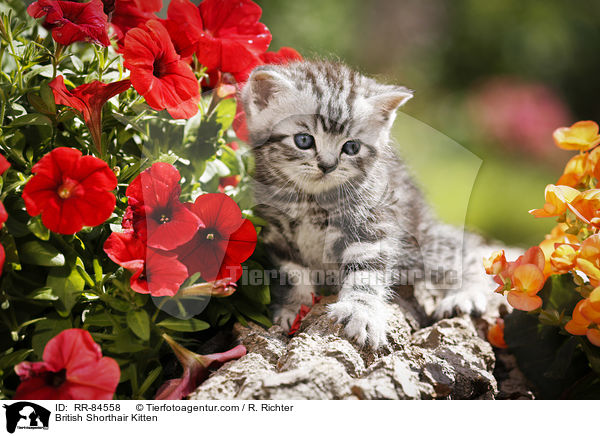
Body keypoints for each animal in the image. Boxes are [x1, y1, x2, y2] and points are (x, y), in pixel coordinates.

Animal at [239, 60, 492, 348]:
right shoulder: (277, 234)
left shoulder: (371, 224)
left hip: (420, 238)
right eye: (303, 140)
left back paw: (466, 293)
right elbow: (293, 274)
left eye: (351, 147)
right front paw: (293, 308)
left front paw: (360, 312)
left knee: (461, 248)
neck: (310, 201)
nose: (328, 166)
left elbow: (365, 273)